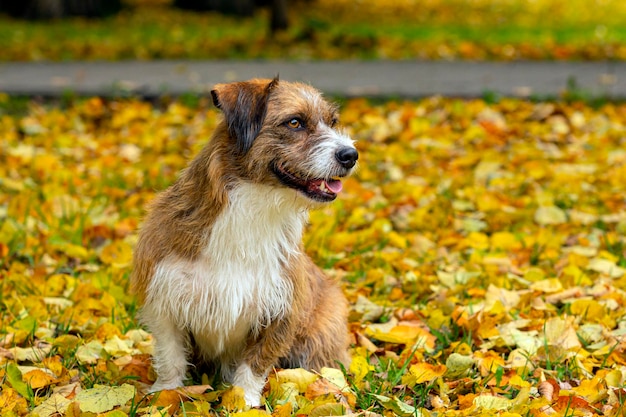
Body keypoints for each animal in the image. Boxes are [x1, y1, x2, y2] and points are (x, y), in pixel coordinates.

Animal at [132, 76, 356, 404]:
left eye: (332, 122)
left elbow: (255, 364)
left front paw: (243, 401)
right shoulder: (164, 299)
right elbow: (171, 356)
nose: (351, 155)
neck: (256, 206)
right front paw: (166, 394)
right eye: (295, 122)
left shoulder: (280, 310)